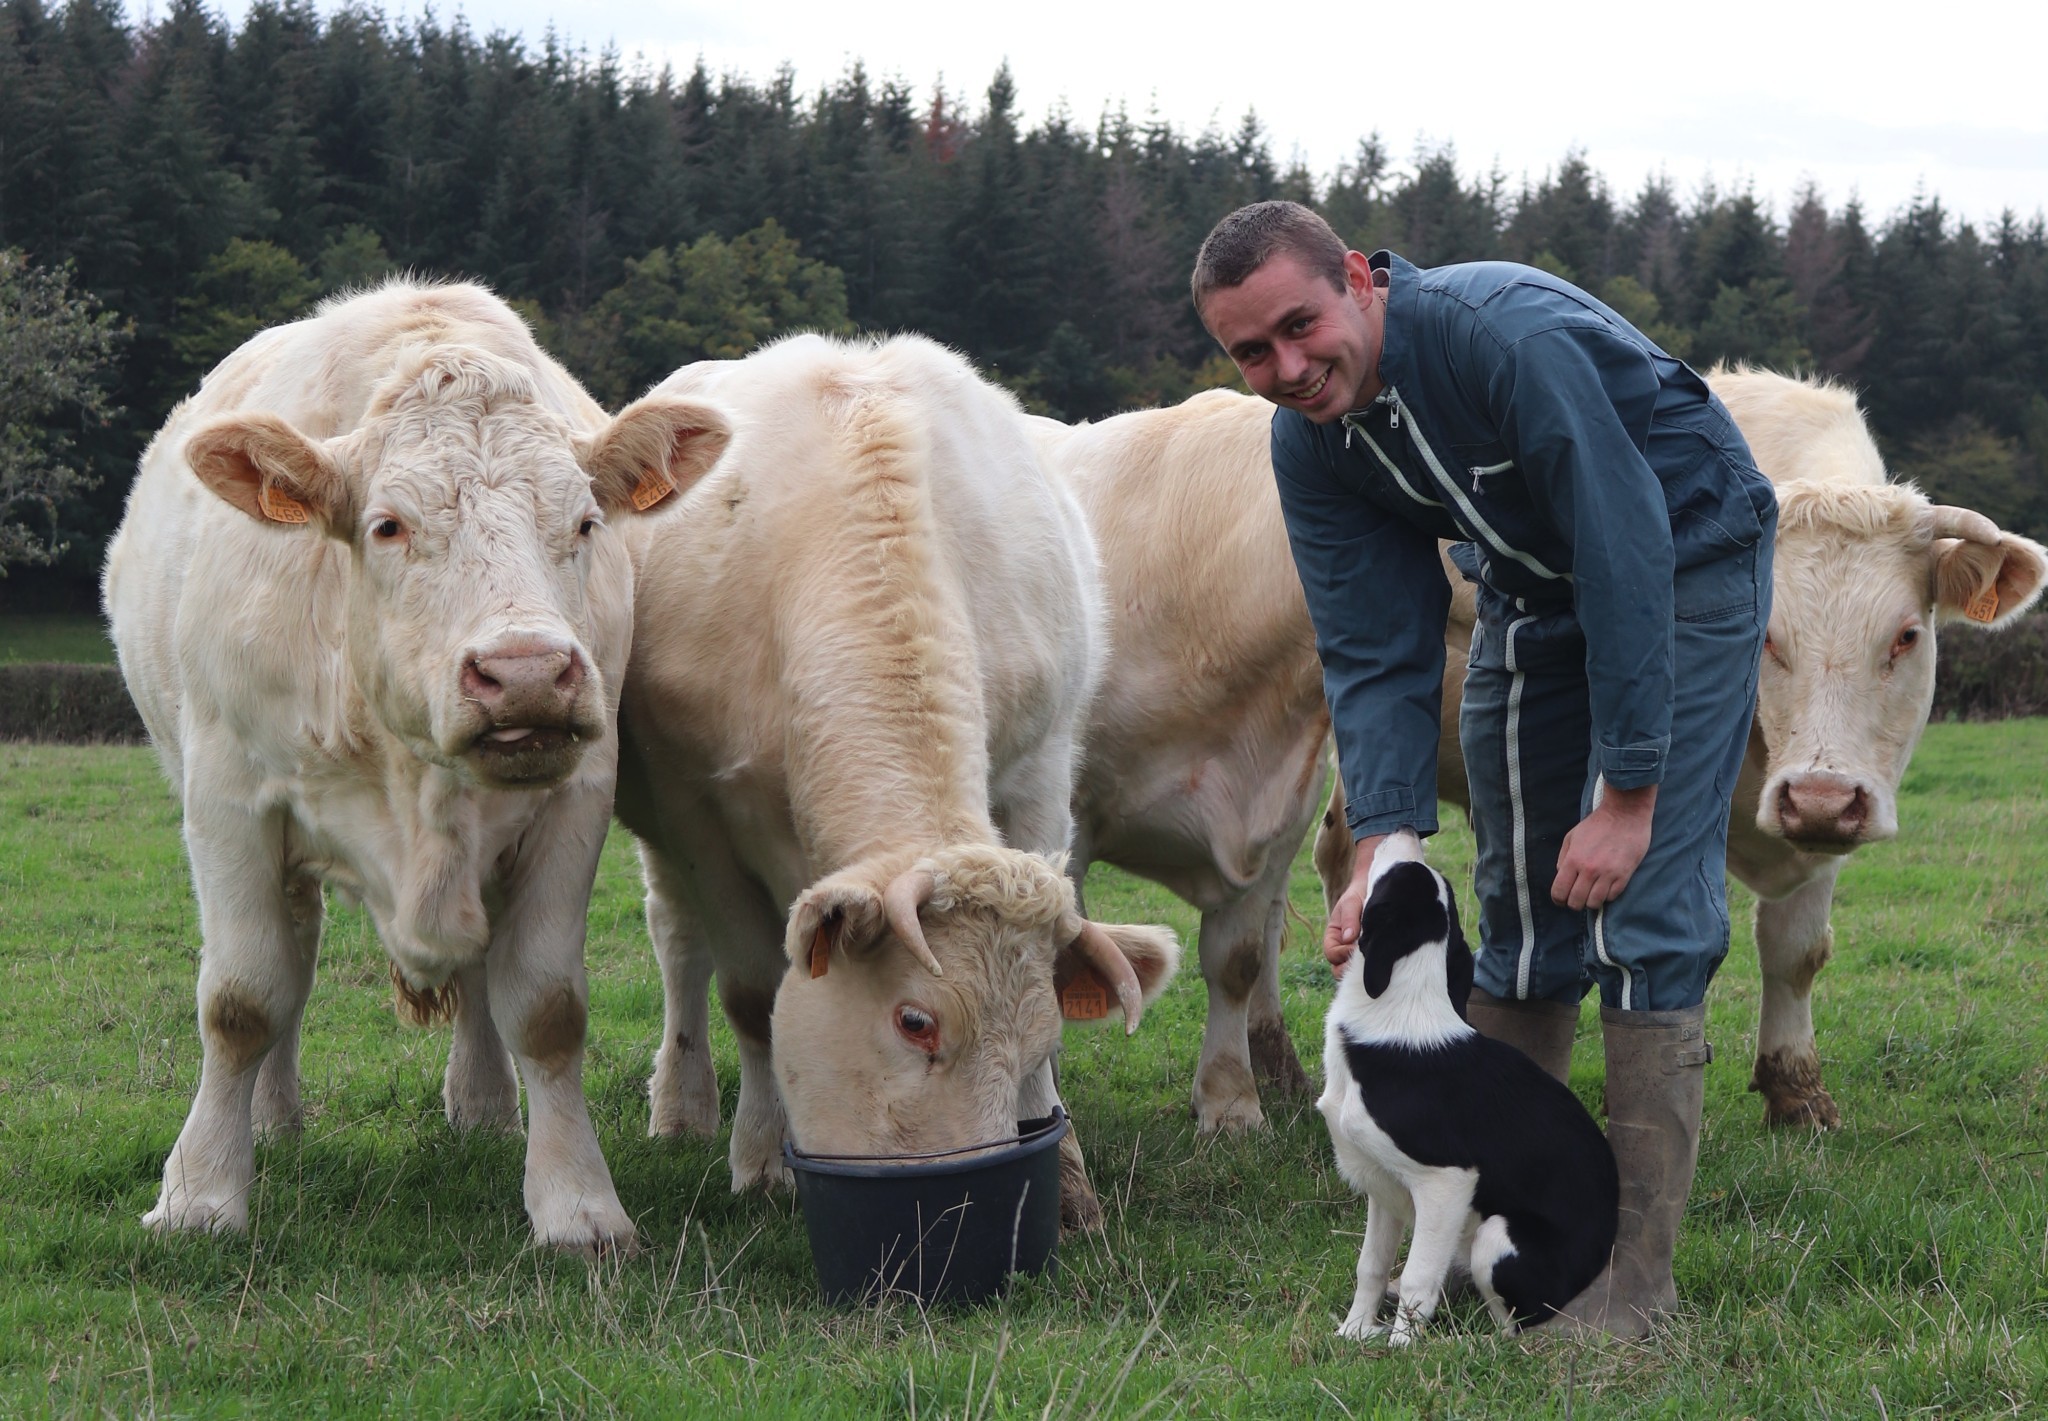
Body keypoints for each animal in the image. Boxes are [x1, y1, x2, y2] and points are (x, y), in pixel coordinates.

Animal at [105, 280, 729, 1244]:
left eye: (586, 521)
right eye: (388, 525)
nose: (526, 671)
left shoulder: (575, 800)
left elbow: (546, 1007)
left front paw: (577, 1204)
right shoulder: (229, 798)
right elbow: (243, 999)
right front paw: (200, 1194)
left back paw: (483, 1106)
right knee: (296, 952)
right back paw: (272, 1118)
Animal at [614, 335, 1179, 1236]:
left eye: (1043, 1033)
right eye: (915, 1022)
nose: (964, 1198)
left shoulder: (1039, 776)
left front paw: (1068, 1181)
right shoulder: (697, 813)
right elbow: (753, 993)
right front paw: (762, 1158)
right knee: (676, 940)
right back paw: (680, 1104)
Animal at [1310, 370, 2048, 1138]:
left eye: (1906, 635)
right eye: (1767, 634)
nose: (1818, 798)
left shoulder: (1834, 810)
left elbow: (1797, 950)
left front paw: (1795, 1090)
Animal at [1318, 835, 1622, 1343]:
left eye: (1398, 873)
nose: (1406, 828)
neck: (1402, 1006)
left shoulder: (1447, 1181)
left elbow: (1418, 1275)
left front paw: (1401, 1346)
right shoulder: (1384, 1186)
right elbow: (1371, 1266)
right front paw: (1355, 1332)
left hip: (1497, 1235)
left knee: (1514, 1323)